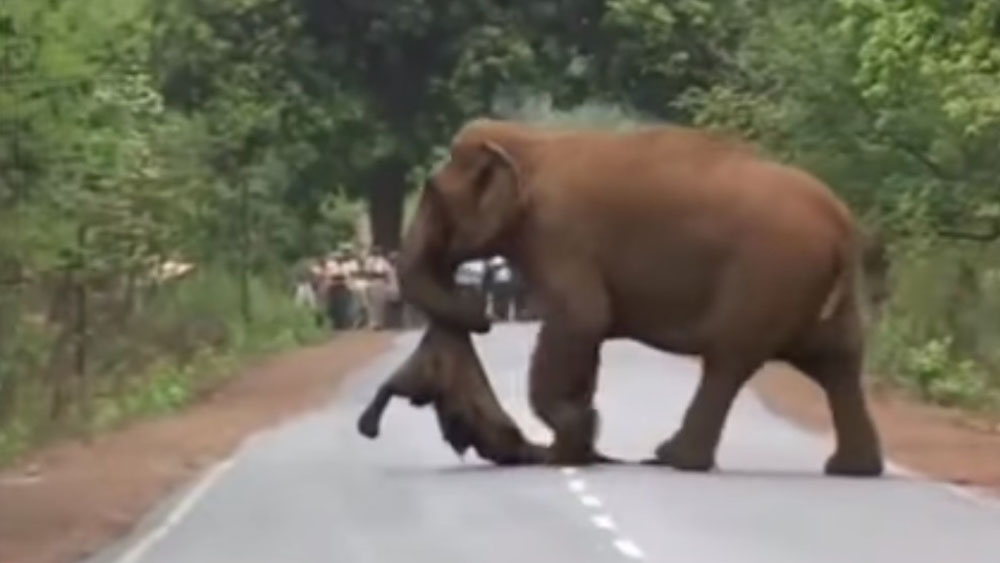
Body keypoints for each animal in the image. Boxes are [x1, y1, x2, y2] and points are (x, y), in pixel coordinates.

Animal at [396, 117, 884, 476]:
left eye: (432, 193)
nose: (479, 313)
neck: (530, 142)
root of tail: (843, 222)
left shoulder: (559, 235)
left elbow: (581, 319)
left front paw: (573, 443)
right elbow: (585, 339)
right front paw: (578, 445)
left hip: (769, 273)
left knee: (729, 359)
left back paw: (673, 459)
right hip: (809, 288)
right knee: (836, 362)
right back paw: (851, 469)